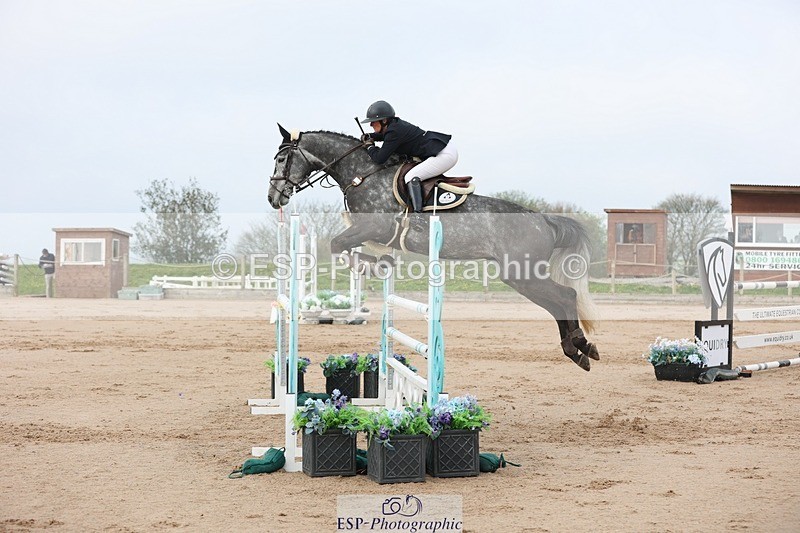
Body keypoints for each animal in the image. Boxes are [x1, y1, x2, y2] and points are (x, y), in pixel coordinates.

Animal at [268, 125, 600, 371]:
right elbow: (345, 248)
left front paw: (374, 265)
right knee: (557, 303)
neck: (362, 172)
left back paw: (580, 346)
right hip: (520, 276)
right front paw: (381, 263)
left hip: (522, 273)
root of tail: (543, 218)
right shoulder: (367, 232)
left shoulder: (372, 227)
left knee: (565, 296)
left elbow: (338, 245)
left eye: (282, 160)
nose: (274, 197)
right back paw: (580, 350)